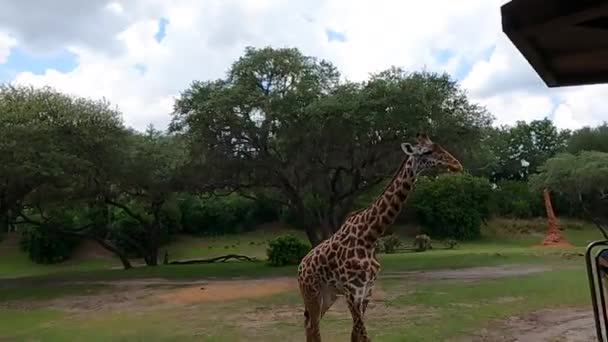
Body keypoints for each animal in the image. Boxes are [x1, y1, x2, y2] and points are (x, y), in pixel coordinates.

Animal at [296, 132, 464, 340]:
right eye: (427, 152)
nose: (457, 164)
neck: (370, 234)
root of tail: (300, 266)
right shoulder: (352, 292)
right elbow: (363, 335)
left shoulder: (367, 291)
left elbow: (356, 336)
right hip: (311, 292)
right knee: (313, 327)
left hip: (329, 295)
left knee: (311, 326)